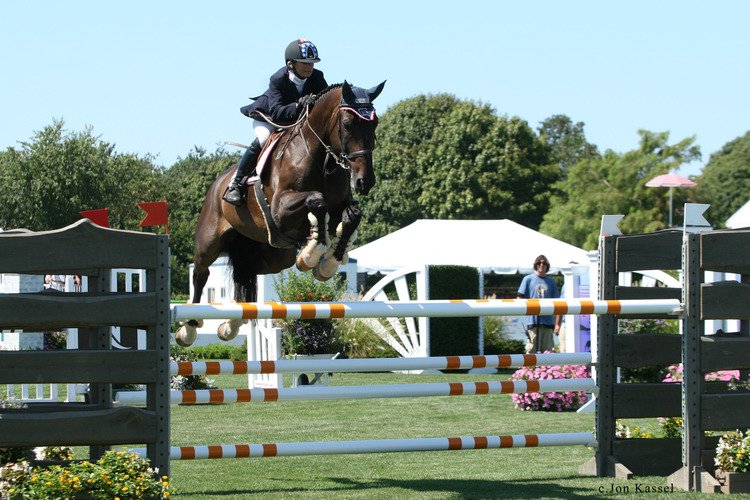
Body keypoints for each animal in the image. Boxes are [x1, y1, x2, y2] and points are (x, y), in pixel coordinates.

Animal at [175, 81, 385, 346]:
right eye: (348, 124)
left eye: (374, 124)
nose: (364, 182)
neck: (321, 157)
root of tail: (217, 183)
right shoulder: (280, 210)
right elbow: (317, 201)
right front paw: (311, 254)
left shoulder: (340, 205)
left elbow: (352, 216)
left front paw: (328, 262)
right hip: (209, 241)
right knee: (201, 273)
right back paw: (188, 328)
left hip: (272, 256)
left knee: (246, 274)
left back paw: (231, 324)